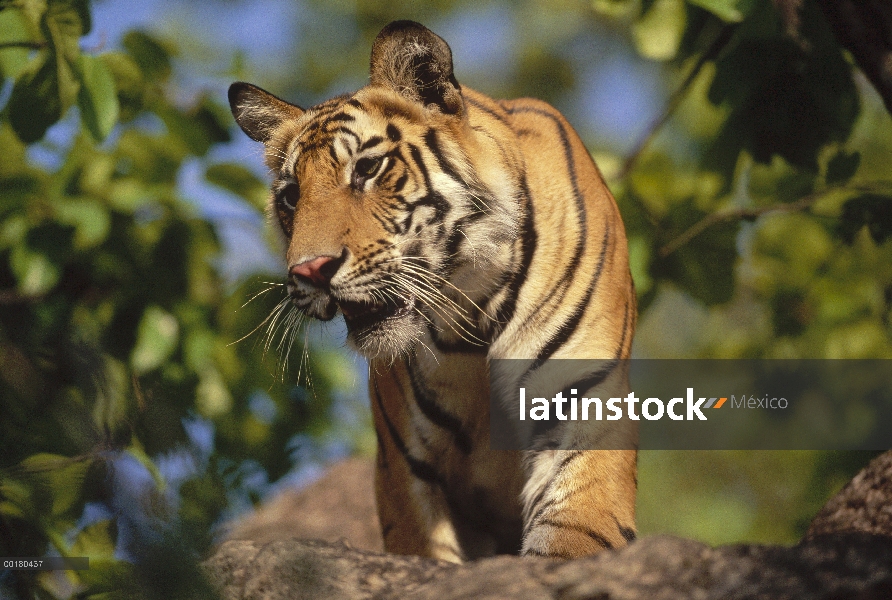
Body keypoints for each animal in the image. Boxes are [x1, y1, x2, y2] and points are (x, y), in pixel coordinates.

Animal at [226, 19, 636, 564]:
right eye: (291, 196)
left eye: (367, 169)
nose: (310, 269)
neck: (472, 306)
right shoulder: (404, 467)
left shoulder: (583, 416)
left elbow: (571, 542)